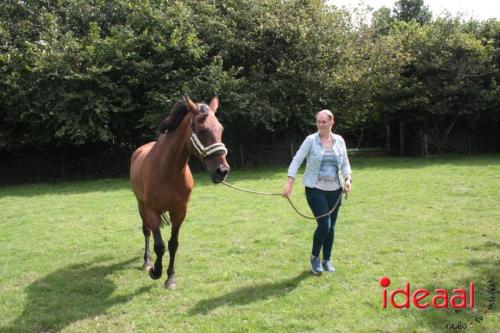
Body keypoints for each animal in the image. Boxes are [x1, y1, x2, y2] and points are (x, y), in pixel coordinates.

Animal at [130, 96, 229, 288]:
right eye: (202, 129)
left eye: (220, 128)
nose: (222, 171)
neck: (168, 171)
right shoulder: (152, 211)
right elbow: (159, 245)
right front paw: (155, 272)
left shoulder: (180, 211)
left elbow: (173, 244)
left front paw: (170, 278)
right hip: (141, 205)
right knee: (146, 231)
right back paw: (147, 262)